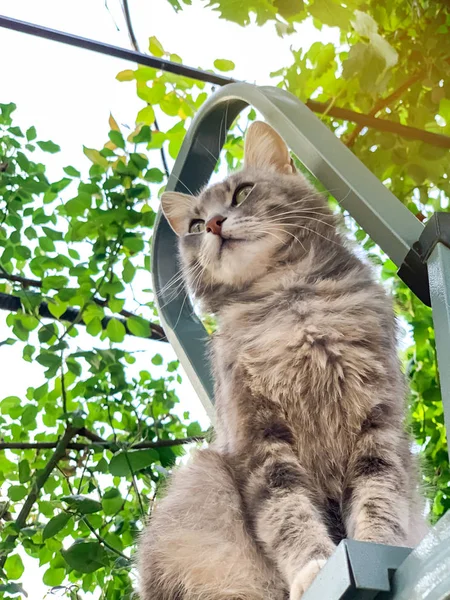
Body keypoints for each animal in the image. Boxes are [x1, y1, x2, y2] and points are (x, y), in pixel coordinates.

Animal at [137, 122, 426, 600]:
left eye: (242, 193)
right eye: (195, 224)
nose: (213, 224)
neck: (292, 301)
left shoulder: (376, 423)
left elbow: (378, 500)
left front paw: (377, 549)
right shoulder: (262, 443)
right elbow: (288, 516)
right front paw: (315, 571)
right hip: (202, 476)